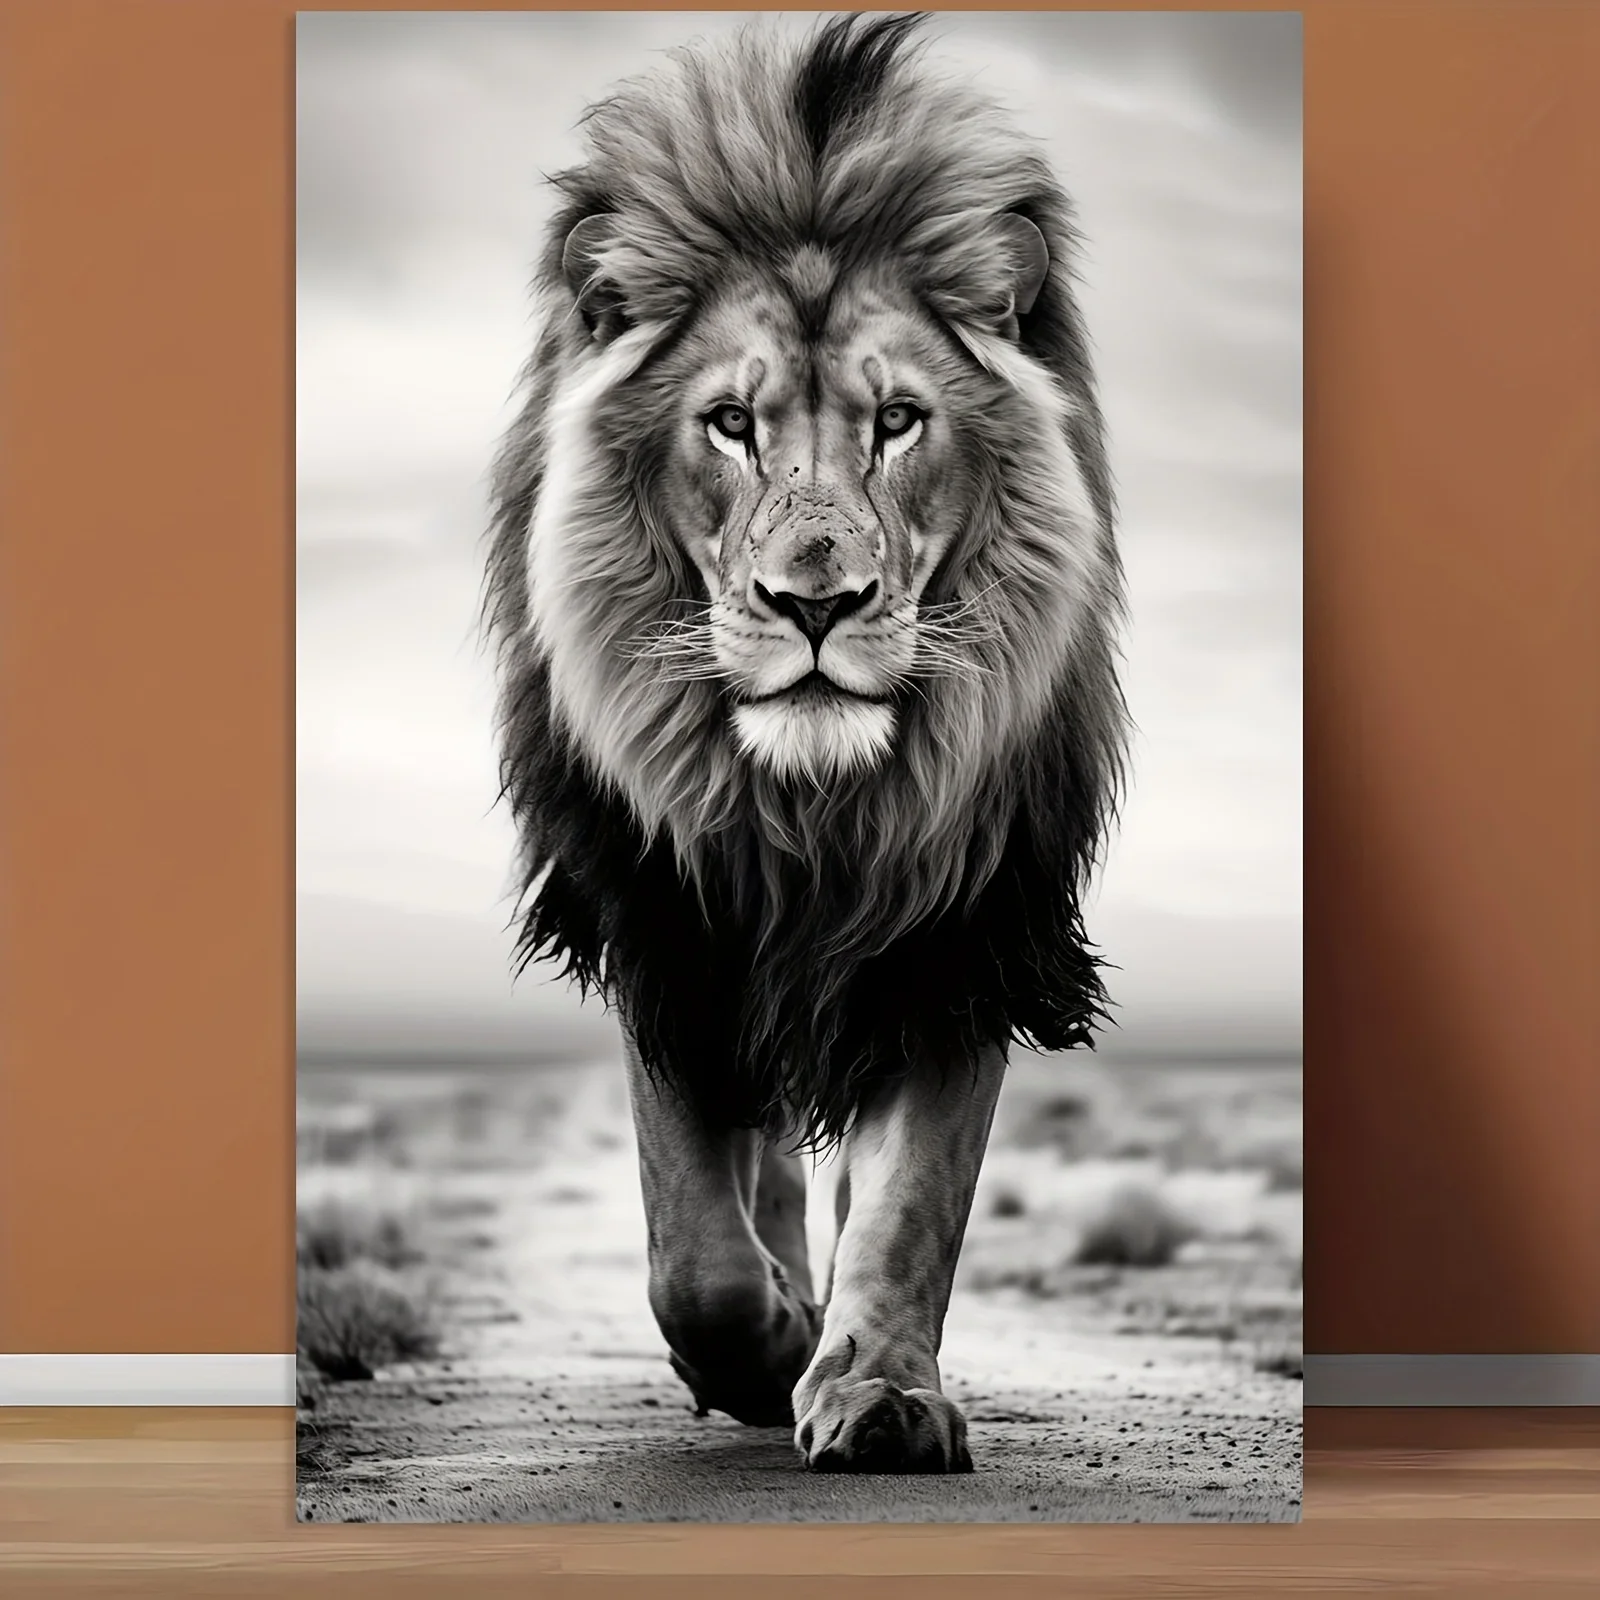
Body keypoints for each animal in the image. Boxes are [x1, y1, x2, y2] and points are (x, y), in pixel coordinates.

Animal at [484, 13, 1128, 1475]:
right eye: (731, 423)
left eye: (897, 422)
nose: (815, 603)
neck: (815, 814)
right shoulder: (664, 912)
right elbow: (694, 1240)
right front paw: (764, 1345)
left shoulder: (963, 921)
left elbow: (912, 1199)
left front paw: (877, 1388)